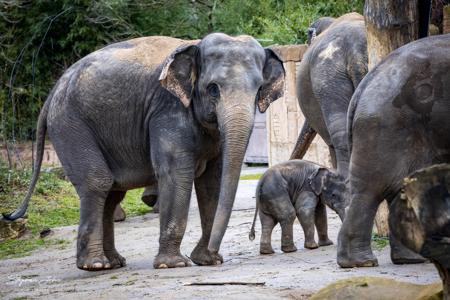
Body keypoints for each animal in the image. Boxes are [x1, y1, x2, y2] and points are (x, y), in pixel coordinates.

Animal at [3, 34, 284, 270]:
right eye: (213, 88)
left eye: (259, 90)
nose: (217, 254)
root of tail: (52, 93)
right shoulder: (167, 110)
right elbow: (176, 174)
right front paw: (174, 264)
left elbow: (212, 182)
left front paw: (205, 260)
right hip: (70, 125)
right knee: (97, 182)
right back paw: (95, 265)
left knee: (112, 190)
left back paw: (114, 263)